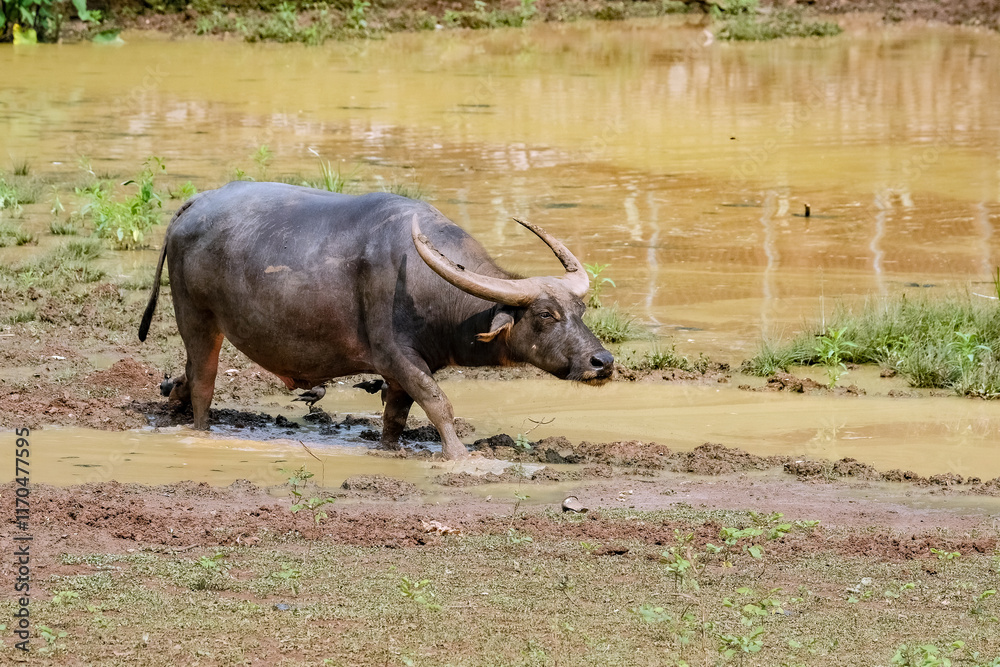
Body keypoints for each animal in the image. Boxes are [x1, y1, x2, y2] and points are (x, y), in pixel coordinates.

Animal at [139, 182, 613, 459]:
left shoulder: (405, 370)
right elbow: (439, 404)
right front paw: (461, 458)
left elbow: (396, 417)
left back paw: (172, 396)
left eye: (580, 312)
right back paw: (200, 428)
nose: (603, 362)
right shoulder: (395, 356)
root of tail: (194, 204)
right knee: (203, 382)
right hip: (197, 318)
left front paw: (389, 449)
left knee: (186, 376)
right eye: (546, 314)